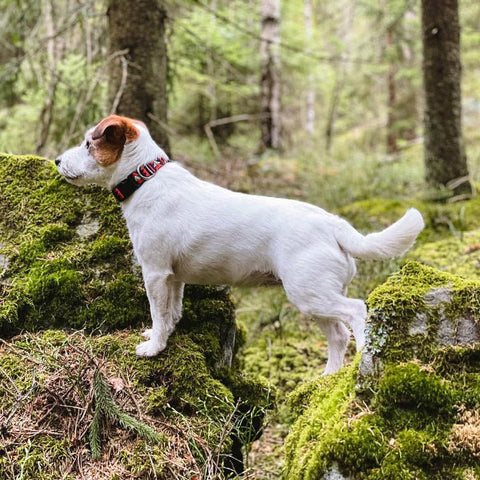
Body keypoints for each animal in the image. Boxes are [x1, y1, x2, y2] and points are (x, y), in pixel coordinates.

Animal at [56, 116, 424, 376]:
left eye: (88, 144)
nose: (58, 160)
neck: (146, 179)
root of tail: (333, 224)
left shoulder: (156, 273)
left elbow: (158, 312)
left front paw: (155, 348)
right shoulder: (173, 278)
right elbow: (171, 312)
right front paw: (162, 337)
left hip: (311, 293)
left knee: (358, 312)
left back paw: (361, 358)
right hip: (315, 299)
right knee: (337, 336)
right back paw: (327, 377)